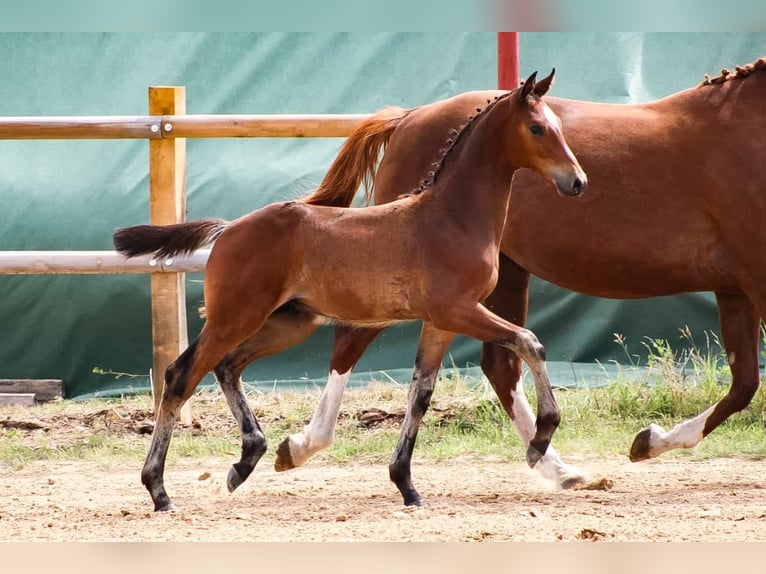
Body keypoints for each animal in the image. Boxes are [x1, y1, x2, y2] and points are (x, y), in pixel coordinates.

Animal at [115, 68, 588, 512]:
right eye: (537, 128)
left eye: (558, 126)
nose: (577, 182)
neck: (451, 217)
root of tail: (228, 229)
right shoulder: (459, 310)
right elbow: (530, 342)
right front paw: (540, 440)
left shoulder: (441, 322)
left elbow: (421, 393)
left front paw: (406, 485)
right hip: (235, 318)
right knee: (181, 376)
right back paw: (160, 490)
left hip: (289, 323)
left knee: (228, 367)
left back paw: (246, 460)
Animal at [264, 57, 766, 486]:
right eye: (537, 128)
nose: (577, 181)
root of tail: (408, 117)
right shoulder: (754, 281)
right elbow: (746, 386)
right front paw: (649, 441)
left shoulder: (735, 289)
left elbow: (744, 383)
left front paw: (648, 440)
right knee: (353, 339)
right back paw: (301, 446)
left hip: (501, 276)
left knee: (500, 365)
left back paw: (557, 468)